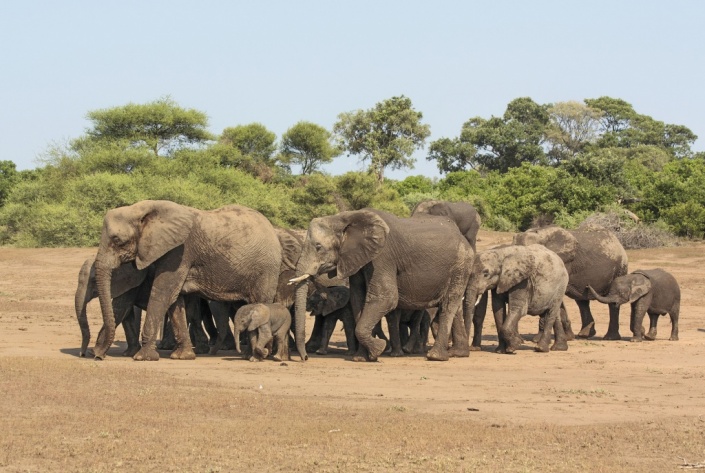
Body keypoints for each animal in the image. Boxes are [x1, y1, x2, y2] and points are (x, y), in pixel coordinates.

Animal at [92, 200, 282, 361]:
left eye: (117, 240)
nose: (98, 356)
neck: (142, 208)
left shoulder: (179, 252)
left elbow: (163, 293)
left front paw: (143, 357)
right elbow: (175, 301)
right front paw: (182, 357)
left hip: (266, 270)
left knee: (260, 302)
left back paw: (255, 356)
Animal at [291, 208, 475, 362]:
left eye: (318, 247)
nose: (305, 358)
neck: (346, 217)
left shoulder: (382, 257)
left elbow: (386, 298)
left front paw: (378, 349)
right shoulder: (358, 259)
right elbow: (358, 300)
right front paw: (361, 358)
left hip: (461, 264)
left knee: (448, 305)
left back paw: (435, 357)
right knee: (454, 306)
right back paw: (458, 353)